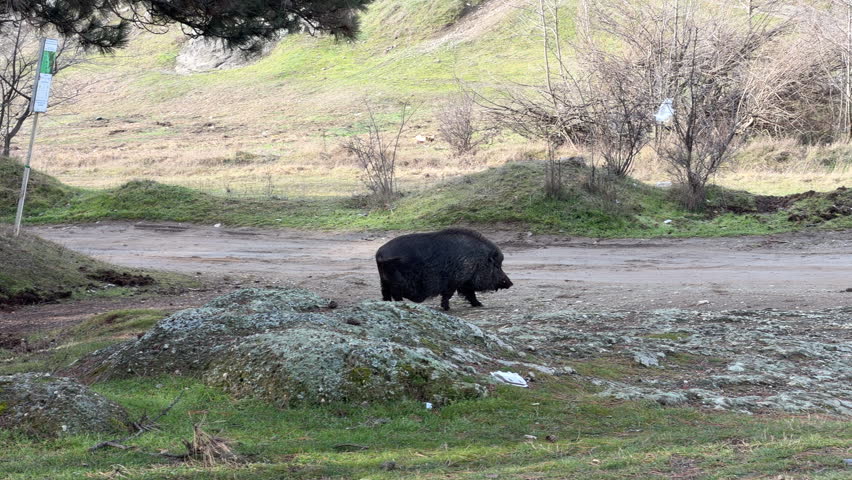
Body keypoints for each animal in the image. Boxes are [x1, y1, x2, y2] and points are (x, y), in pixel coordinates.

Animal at [375, 228, 513, 310]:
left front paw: (479, 304)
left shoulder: (464, 282)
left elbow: (470, 294)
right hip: (396, 282)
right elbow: (450, 295)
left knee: (385, 293)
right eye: (497, 265)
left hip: (383, 281)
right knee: (395, 294)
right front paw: (447, 308)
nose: (510, 283)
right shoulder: (455, 281)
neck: (476, 261)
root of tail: (380, 254)